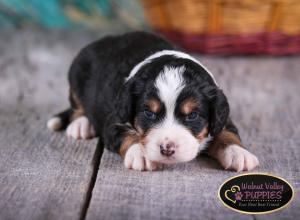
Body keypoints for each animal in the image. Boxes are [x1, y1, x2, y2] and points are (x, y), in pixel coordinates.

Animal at [47, 31, 258, 172]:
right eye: (149, 113)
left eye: (192, 115)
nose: (167, 149)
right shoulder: (114, 120)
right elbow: (127, 134)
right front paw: (141, 154)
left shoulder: (222, 117)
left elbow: (227, 132)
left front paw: (238, 153)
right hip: (76, 73)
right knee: (77, 105)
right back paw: (81, 125)